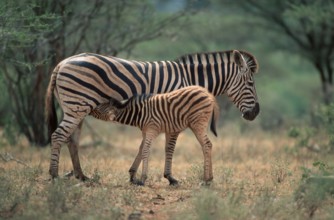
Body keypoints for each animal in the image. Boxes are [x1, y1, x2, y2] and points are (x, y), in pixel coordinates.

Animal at [90, 86, 219, 186]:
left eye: (98, 107)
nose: (88, 107)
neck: (139, 113)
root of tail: (207, 92)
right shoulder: (145, 131)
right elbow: (140, 149)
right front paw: (132, 176)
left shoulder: (152, 129)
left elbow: (146, 150)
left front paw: (142, 179)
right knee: (208, 145)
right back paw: (210, 178)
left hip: (198, 123)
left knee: (207, 145)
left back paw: (206, 180)